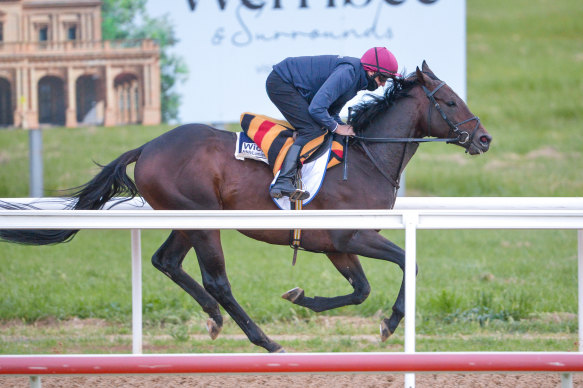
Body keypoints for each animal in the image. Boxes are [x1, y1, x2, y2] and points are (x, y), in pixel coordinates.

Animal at [0, 62, 492, 354]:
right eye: (449, 101)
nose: (484, 138)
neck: (368, 157)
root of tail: (149, 145)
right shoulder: (352, 235)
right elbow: (407, 262)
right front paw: (389, 323)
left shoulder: (336, 245)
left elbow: (360, 289)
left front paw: (303, 297)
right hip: (202, 220)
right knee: (216, 281)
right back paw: (265, 341)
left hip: (186, 217)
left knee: (166, 261)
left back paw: (216, 320)